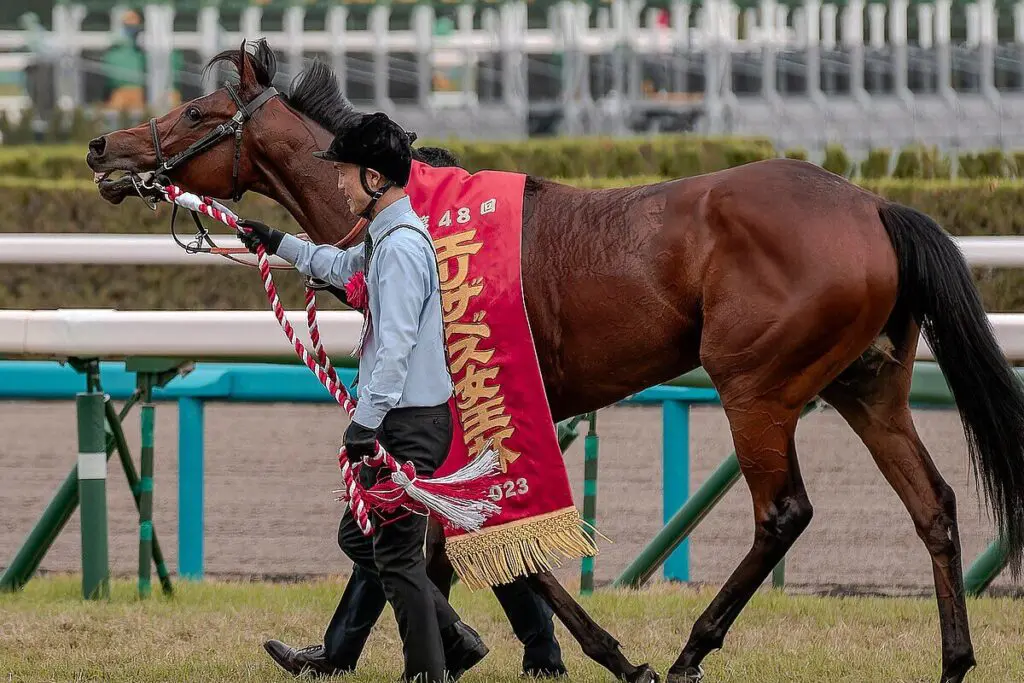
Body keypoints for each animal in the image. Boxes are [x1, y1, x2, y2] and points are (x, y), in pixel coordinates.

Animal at [85, 39, 1024, 683]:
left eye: (198, 114)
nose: (103, 150)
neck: (411, 216)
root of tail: (874, 206)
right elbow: (442, 541)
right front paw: (347, 646)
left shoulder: (464, 411)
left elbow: (454, 539)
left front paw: (588, 651)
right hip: (868, 385)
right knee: (934, 505)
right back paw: (953, 658)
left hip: (756, 384)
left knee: (783, 512)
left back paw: (691, 650)